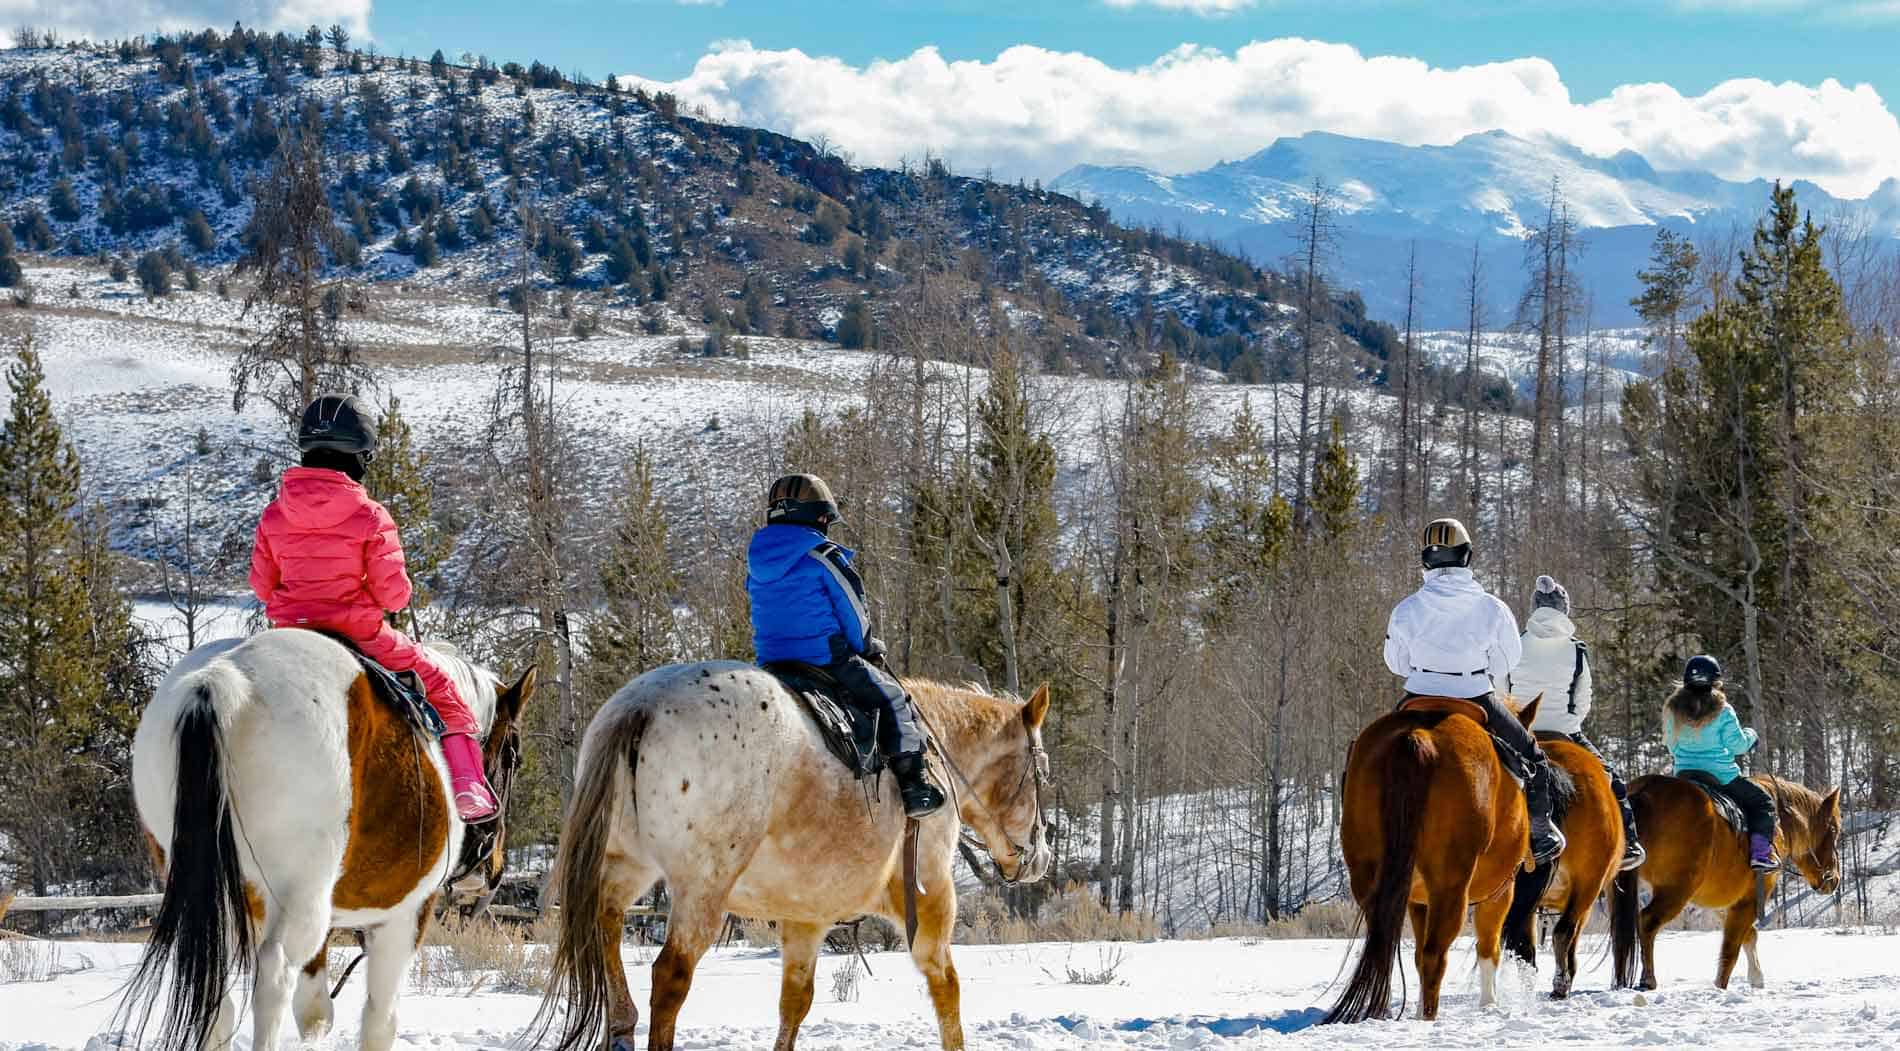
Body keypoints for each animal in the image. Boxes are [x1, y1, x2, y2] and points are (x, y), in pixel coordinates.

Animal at [115, 627, 535, 1049]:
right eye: (513, 757)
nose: (491, 866)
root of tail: (221, 680)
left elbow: (314, 1013)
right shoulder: (408, 911)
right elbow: (380, 1019)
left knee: (218, 1000)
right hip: (302, 892)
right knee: (274, 978)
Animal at [532, 665, 1056, 1049]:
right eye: (1043, 772)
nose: (1038, 857)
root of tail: (640, 707)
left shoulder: (806, 917)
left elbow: (795, 1002)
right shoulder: (929, 899)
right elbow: (946, 985)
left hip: (625, 867)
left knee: (605, 931)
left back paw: (621, 1026)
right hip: (702, 890)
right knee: (669, 978)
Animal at [1322, 691, 1542, 1018]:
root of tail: (1418, 738)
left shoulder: (1417, 902)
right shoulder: (1500, 893)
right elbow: (1488, 949)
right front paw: (1489, 1004)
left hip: (1368, 876)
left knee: (1384, 942)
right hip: (1451, 886)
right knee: (1435, 955)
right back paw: (1428, 1017)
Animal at [1611, 771, 1846, 988]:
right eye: (1834, 829)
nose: (1833, 879)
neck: (1779, 822)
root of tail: (1644, 792)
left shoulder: (1723, 904)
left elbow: (1749, 935)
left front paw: (1756, 977)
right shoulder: (1749, 900)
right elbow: (1730, 950)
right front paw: (1721, 986)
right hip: (1675, 891)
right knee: (1647, 921)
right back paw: (1648, 979)